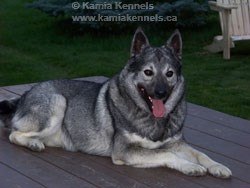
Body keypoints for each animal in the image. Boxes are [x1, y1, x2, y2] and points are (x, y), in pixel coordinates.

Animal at [0, 27, 231, 178]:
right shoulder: (124, 151)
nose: (161, 93)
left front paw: (217, 166)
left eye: (170, 73)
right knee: (14, 134)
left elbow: (201, 154)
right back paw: (32, 143)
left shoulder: (177, 143)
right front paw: (189, 166)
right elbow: (164, 153)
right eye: (148, 72)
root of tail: (25, 94)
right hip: (58, 102)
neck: (153, 119)